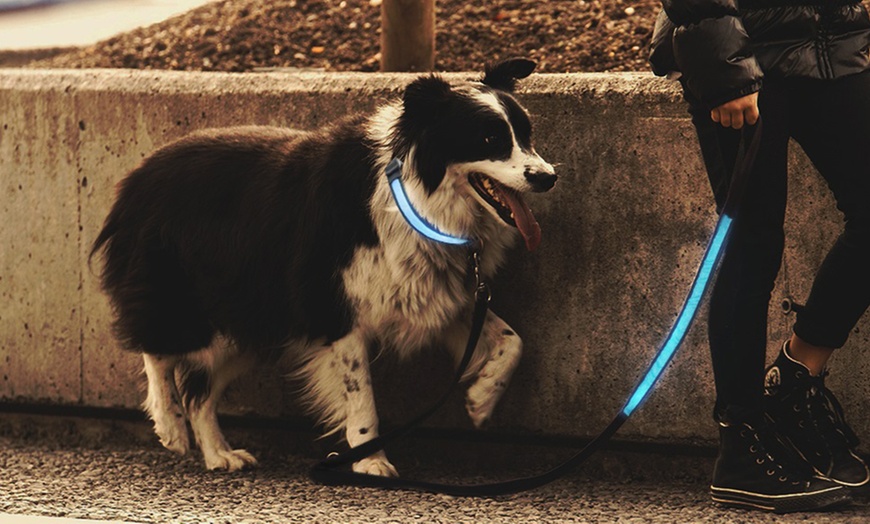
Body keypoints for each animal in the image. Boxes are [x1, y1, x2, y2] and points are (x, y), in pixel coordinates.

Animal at [90, 59, 560, 476]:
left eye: (527, 134)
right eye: (489, 139)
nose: (547, 177)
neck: (418, 199)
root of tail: (135, 179)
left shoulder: (433, 293)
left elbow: (513, 340)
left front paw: (480, 400)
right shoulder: (335, 306)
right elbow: (361, 394)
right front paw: (371, 462)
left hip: (252, 315)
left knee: (199, 392)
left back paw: (219, 454)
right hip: (187, 291)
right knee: (157, 349)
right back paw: (170, 426)